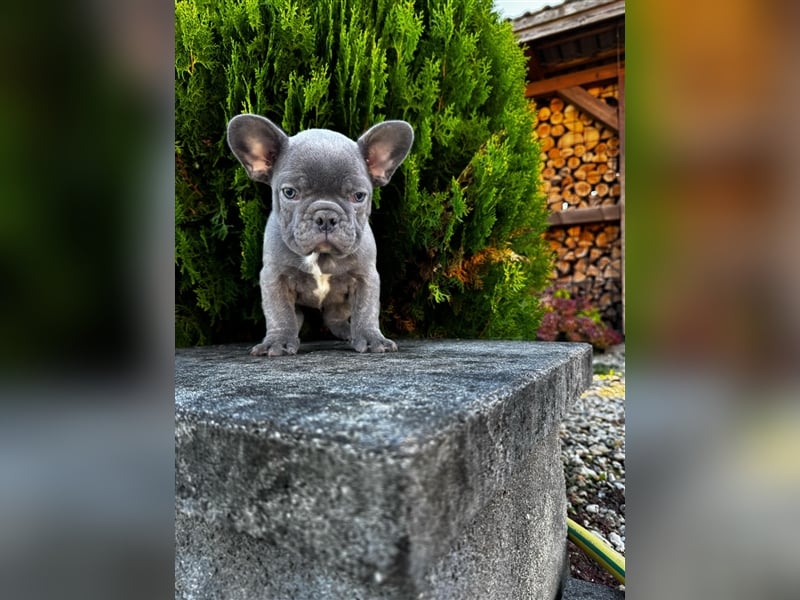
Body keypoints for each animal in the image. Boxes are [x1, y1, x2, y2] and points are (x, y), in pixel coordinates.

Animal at [225, 115, 412, 354]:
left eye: (359, 196)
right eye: (289, 193)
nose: (326, 217)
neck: (321, 257)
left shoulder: (365, 276)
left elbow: (366, 309)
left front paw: (371, 338)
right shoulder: (274, 277)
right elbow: (279, 311)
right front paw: (278, 341)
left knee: (335, 318)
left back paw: (347, 332)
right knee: (297, 316)